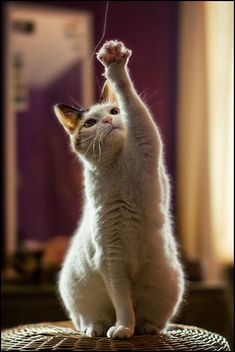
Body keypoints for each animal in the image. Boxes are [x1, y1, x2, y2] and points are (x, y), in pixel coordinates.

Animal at [54, 40, 185, 340]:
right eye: (90, 123)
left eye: (114, 112)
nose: (108, 122)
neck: (118, 167)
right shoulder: (111, 260)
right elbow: (123, 304)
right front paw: (124, 328)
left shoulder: (146, 143)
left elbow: (132, 102)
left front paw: (114, 61)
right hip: (77, 294)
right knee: (91, 319)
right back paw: (96, 329)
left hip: (169, 285)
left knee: (154, 319)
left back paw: (148, 329)